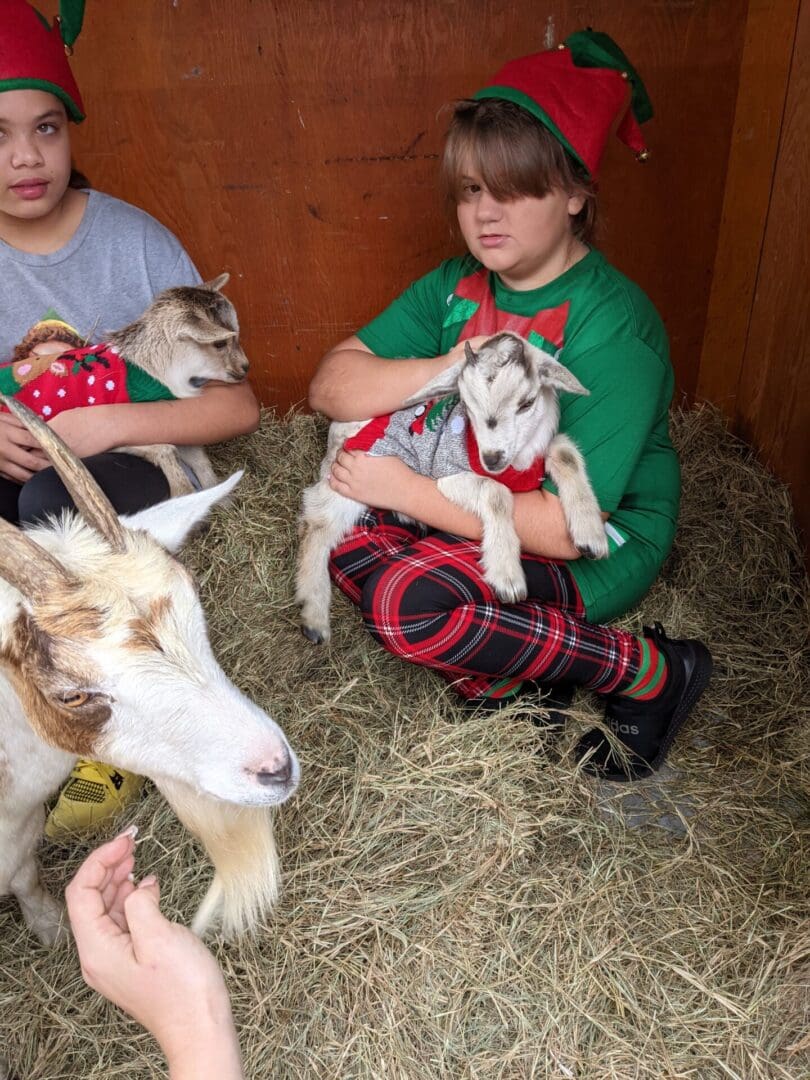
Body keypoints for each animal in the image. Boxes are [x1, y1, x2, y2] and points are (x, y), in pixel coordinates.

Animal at [298, 330, 609, 639]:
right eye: (467, 406)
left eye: (527, 403)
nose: (492, 459)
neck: (518, 461)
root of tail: (337, 424)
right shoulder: (448, 475)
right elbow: (496, 493)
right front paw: (506, 575)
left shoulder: (538, 454)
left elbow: (566, 453)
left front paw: (591, 537)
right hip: (351, 468)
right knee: (317, 522)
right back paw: (313, 617)